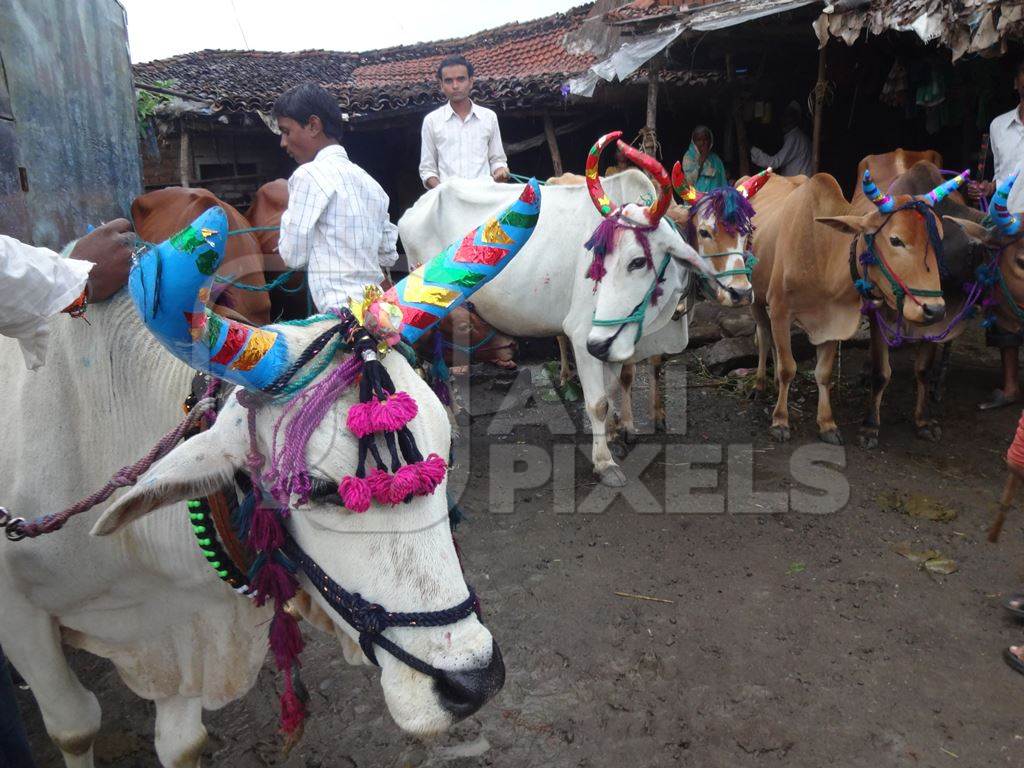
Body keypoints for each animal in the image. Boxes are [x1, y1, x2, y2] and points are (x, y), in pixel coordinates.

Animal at [745, 169, 958, 444]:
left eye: (939, 238)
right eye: (896, 240)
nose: (935, 310)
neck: (822, 255)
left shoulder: (834, 321)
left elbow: (823, 373)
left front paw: (827, 423)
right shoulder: (781, 311)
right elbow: (787, 368)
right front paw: (780, 420)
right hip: (756, 298)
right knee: (763, 336)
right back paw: (760, 385)